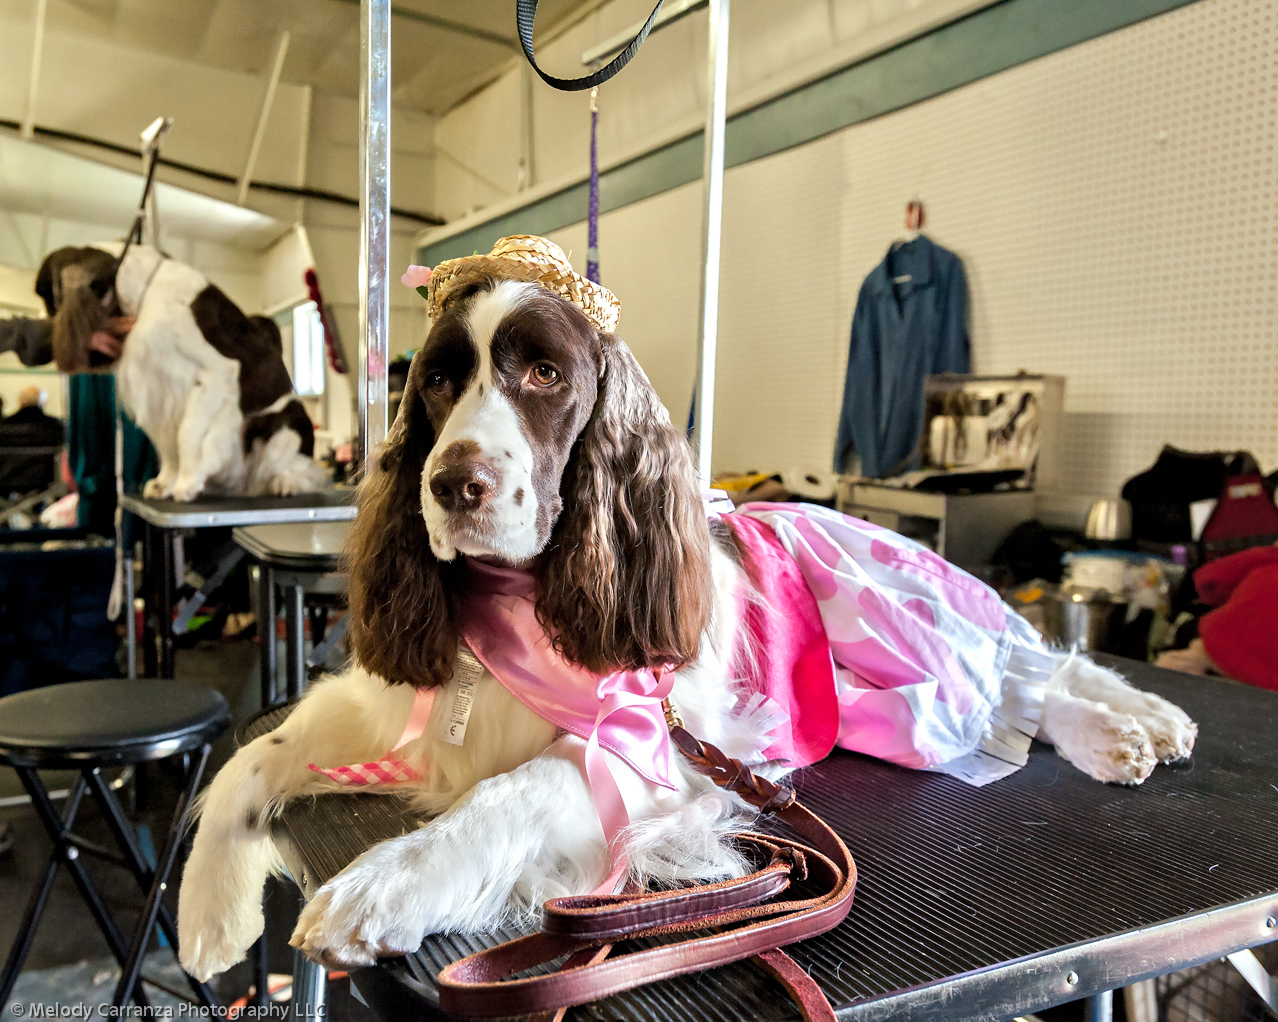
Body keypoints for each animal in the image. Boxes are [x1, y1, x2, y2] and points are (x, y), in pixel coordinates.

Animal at [42, 247, 327, 503]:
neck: (145, 290)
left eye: (50, 299)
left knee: (300, 469)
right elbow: (167, 445)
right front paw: (165, 483)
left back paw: (285, 483)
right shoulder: (156, 390)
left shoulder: (216, 372)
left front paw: (188, 483)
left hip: (284, 428)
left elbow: (187, 434)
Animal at [177, 259, 1196, 976]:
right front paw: (209, 915)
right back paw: (1131, 733)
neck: (515, 595)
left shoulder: (646, 747)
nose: (453, 484)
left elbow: (504, 793)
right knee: (1026, 687)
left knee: (1035, 671)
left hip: (908, 635)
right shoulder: (390, 703)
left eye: (543, 372)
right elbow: (253, 757)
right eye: (436, 381)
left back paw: (1133, 728)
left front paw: (383, 885)